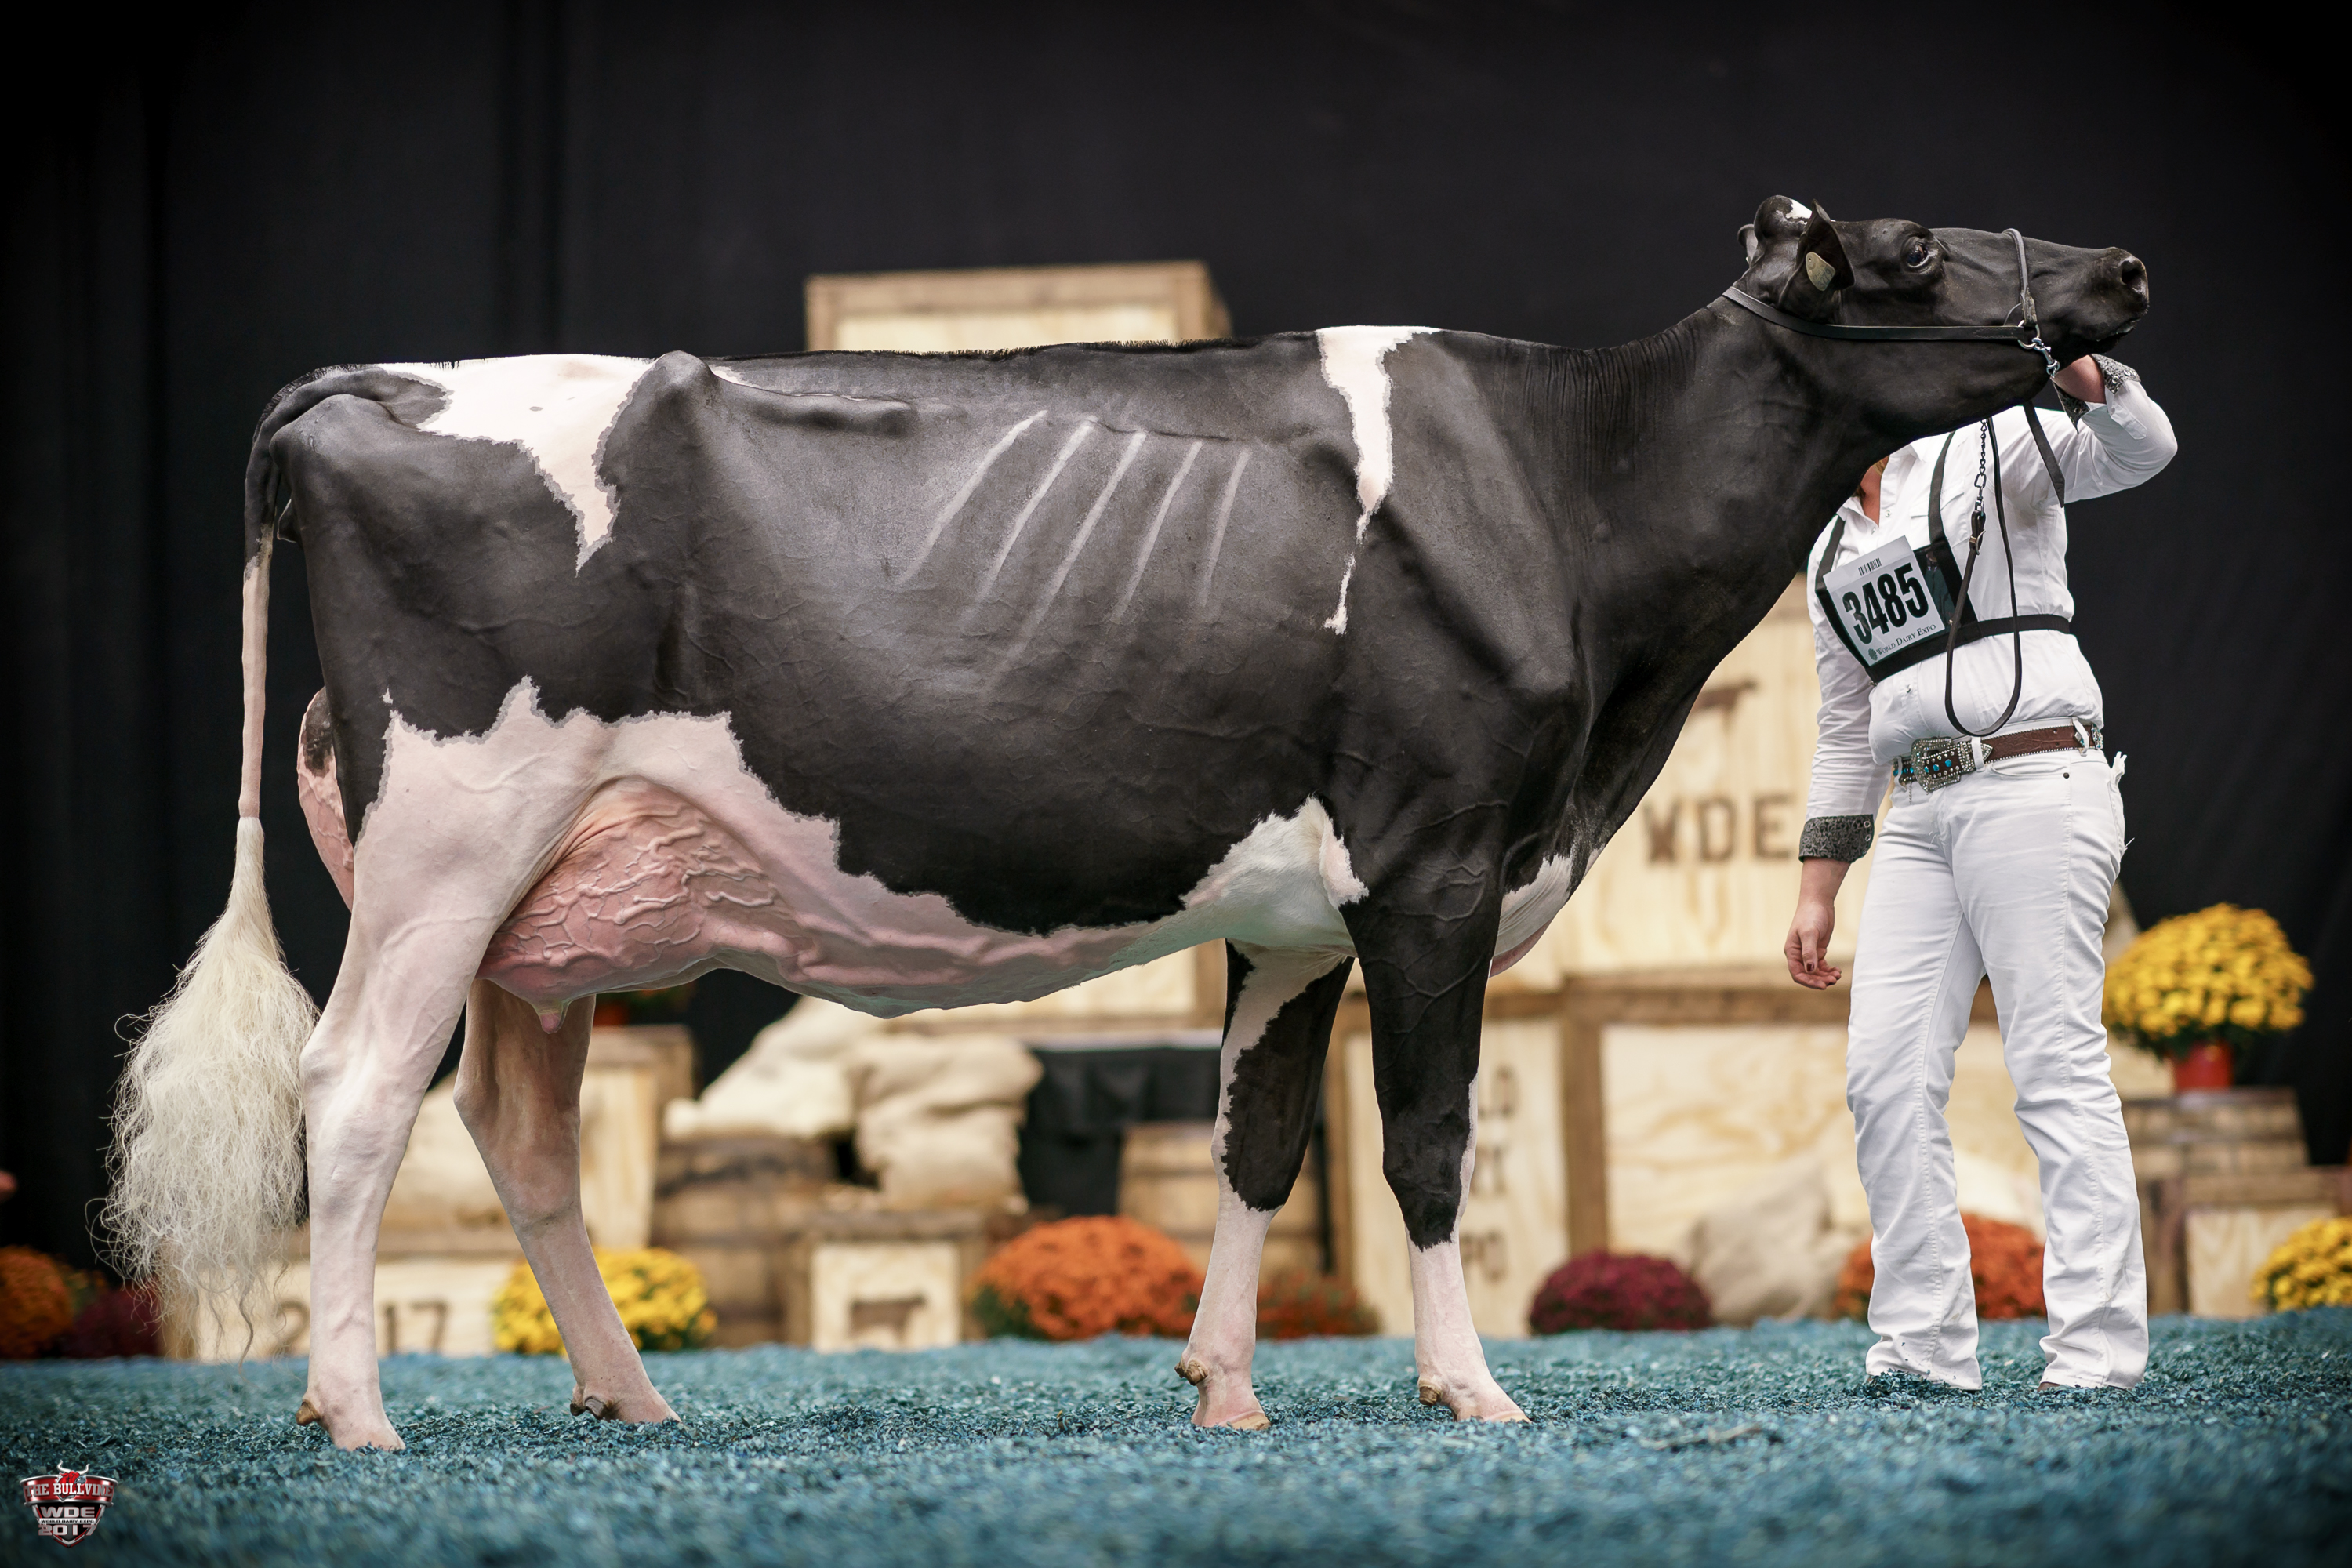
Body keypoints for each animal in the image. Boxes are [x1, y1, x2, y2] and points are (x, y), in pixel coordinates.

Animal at [109, 197, 2151, 1450]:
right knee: (357, 1091)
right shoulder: (1434, 871)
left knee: (518, 1133)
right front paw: (1468, 1389)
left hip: (556, 903)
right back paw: (357, 1406)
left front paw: (1224, 1385)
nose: (2120, 270)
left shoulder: (1295, 911)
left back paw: (630, 1398)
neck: (1572, 498)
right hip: (451, 838)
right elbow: (1422, 1148)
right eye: (1909, 247)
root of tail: (363, 386)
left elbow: (1257, 1142)